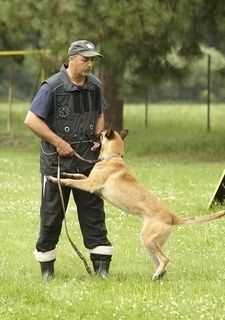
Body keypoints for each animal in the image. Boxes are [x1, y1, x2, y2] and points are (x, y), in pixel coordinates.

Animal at [48, 125, 225, 280]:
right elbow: (76, 176)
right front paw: (64, 172)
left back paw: (157, 274)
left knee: (165, 259)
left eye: (99, 133)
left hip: (148, 239)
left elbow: (68, 181)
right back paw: (158, 275)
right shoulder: (88, 181)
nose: (87, 134)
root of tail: (172, 217)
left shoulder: (89, 185)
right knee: (161, 263)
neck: (113, 158)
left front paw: (54, 178)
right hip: (151, 244)